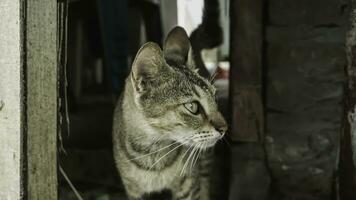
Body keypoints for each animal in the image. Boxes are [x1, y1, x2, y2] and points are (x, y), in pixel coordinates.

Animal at [112, 27, 227, 200]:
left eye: (214, 97)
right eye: (192, 106)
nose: (225, 128)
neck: (152, 154)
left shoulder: (188, 186)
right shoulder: (133, 190)